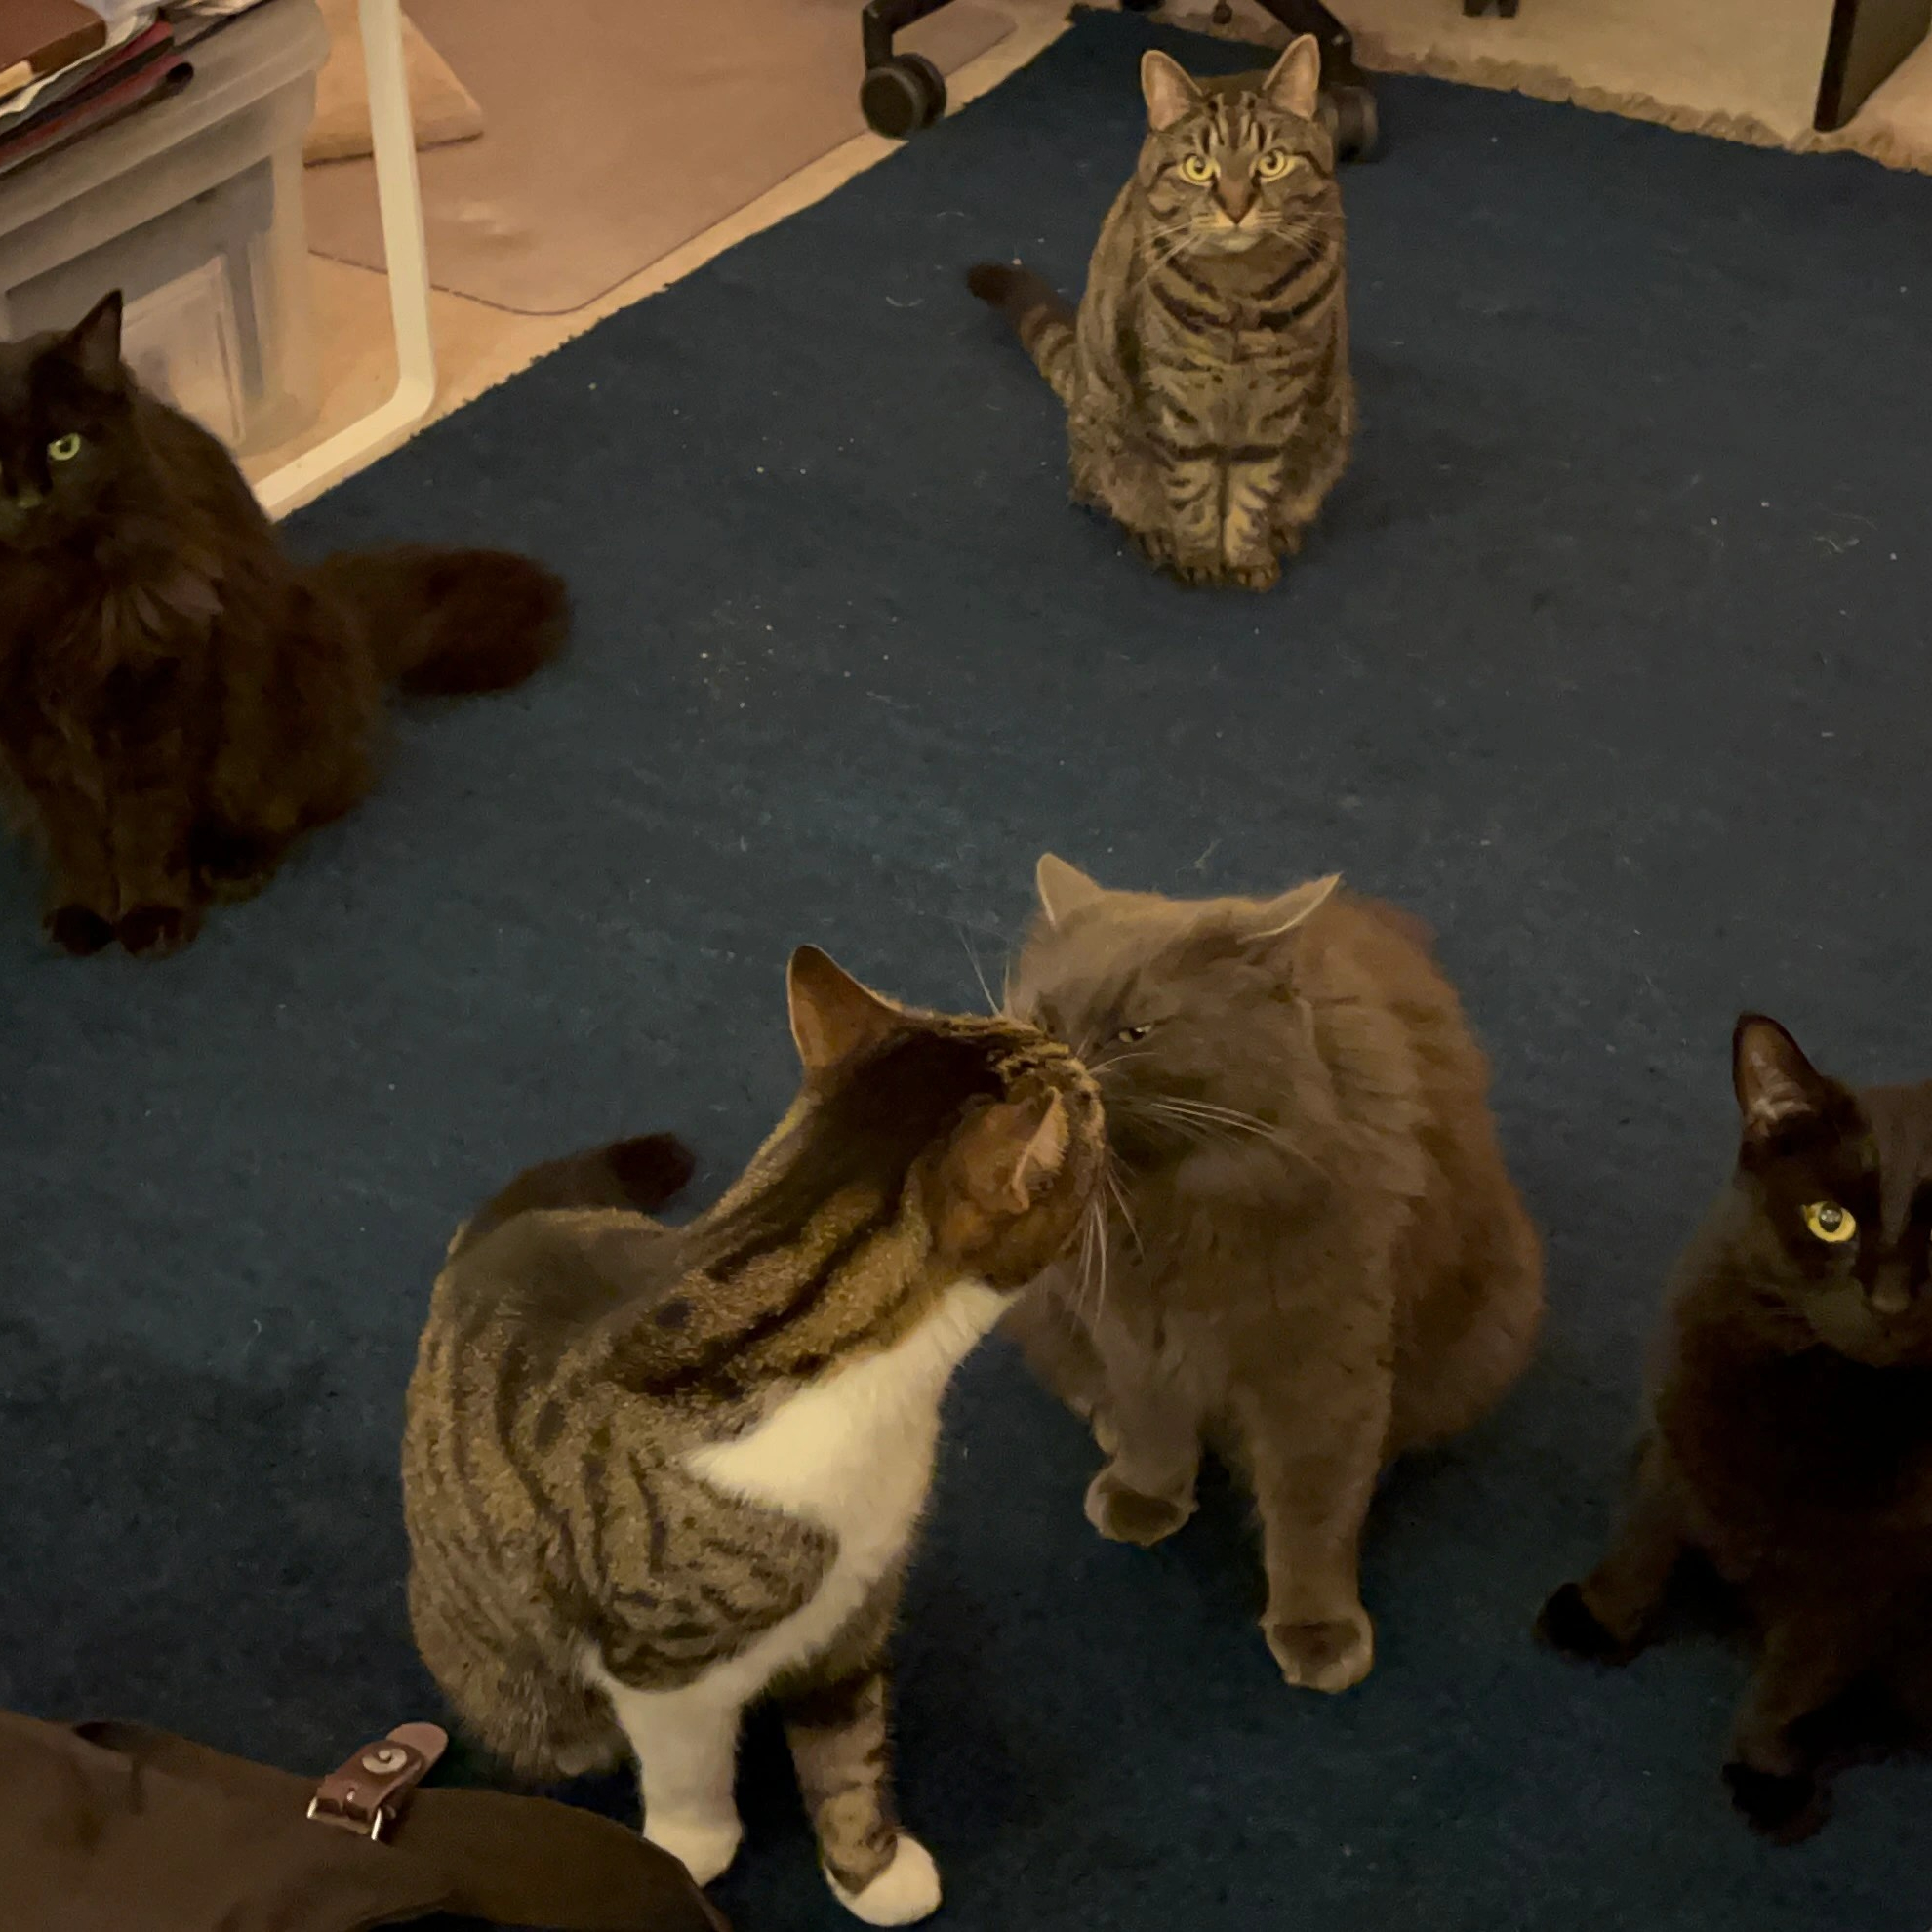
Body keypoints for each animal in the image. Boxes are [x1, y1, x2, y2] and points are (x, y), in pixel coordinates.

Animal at [0, 290, 567, 958]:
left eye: (63, 447)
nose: (27, 501)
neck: (47, 599)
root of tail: (327, 598)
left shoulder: (157, 695)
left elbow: (147, 825)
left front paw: (151, 914)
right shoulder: (30, 730)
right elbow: (77, 836)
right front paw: (83, 912)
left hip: (282, 691)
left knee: (296, 800)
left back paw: (232, 864)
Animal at [401, 945, 1104, 1925]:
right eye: (1091, 1104)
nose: (1099, 1068)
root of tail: (488, 1238)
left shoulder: (856, 1605)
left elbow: (848, 1750)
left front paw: (870, 1872)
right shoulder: (656, 1667)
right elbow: (688, 1766)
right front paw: (691, 1846)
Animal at [967, 38, 1353, 590]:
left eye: (1272, 162)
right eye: (1198, 168)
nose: (1236, 207)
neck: (1242, 292)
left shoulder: (1277, 404)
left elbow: (1254, 490)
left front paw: (1248, 554)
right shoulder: (1175, 400)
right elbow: (1192, 491)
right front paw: (1199, 557)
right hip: (1104, 428)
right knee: (1097, 485)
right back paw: (1148, 531)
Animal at [1002, 855, 1543, 1692]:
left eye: (1134, 1032)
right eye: (1047, 1023)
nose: (1060, 1078)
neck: (1164, 1205)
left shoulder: (1321, 1364)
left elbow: (1312, 1509)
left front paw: (1318, 1629)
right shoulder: (1131, 1328)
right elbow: (1154, 1424)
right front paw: (1144, 1494)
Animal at [1539, 1015, 1932, 1840]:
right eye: (1830, 1221)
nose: (1887, 1304)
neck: (1819, 1399)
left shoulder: (1874, 1572)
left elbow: (1799, 1677)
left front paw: (1766, 1772)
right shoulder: (1678, 1439)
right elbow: (1643, 1545)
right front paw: (1599, 1617)